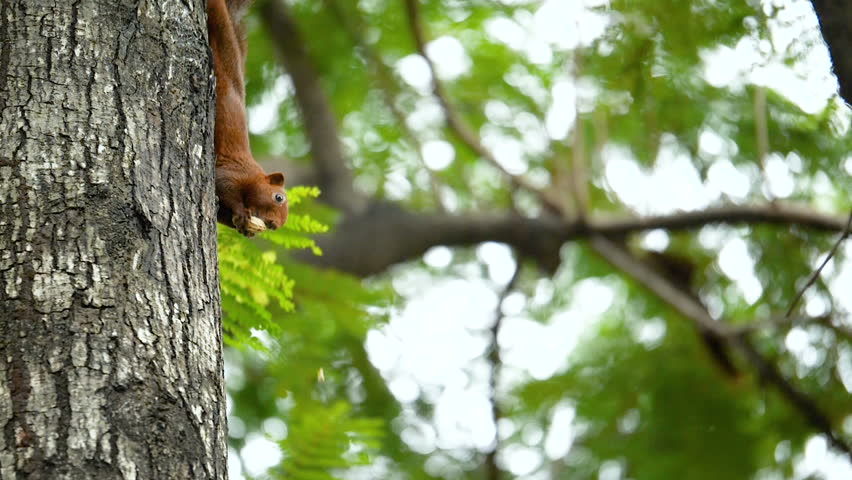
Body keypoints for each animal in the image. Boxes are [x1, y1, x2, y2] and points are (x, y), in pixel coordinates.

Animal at [208, 0, 288, 236]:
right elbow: (224, 185)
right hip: (220, 28)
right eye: (278, 197)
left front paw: (245, 226)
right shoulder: (233, 172)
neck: (255, 175)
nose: (274, 225)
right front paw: (242, 213)